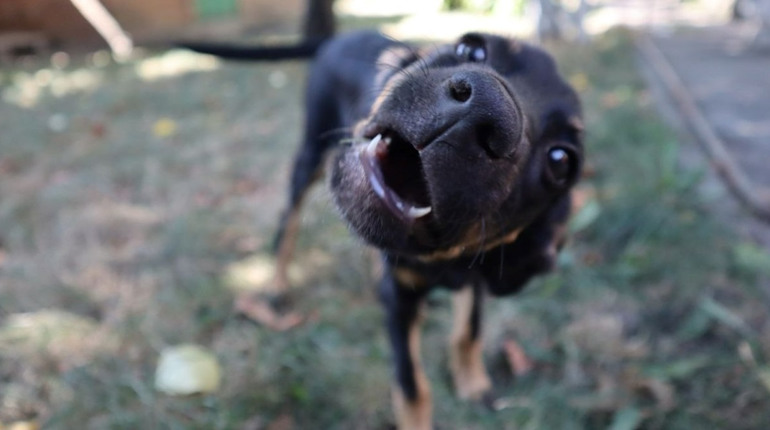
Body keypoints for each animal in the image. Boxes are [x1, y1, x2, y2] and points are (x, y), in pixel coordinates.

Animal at [272, 31, 580, 430]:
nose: (482, 111)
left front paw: (473, 382)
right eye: (471, 48)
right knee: (287, 222)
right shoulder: (402, 301)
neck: (441, 264)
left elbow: (469, 331)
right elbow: (412, 384)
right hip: (312, 150)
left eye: (561, 161)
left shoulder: (476, 277)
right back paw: (277, 285)